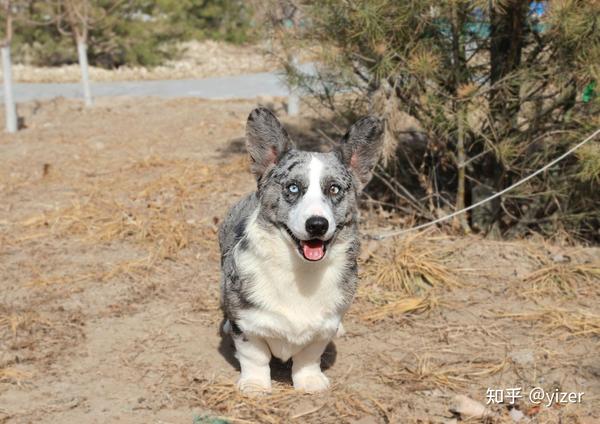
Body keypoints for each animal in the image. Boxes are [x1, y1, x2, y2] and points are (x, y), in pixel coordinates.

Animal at [218, 107, 382, 392]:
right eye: (293, 187)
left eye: (334, 189)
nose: (317, 224)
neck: (301, 272)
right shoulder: (248, 327)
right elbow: (254, 356)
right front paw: (255, 386)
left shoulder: (321, 330)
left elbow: (309, 356)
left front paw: (310, 382)